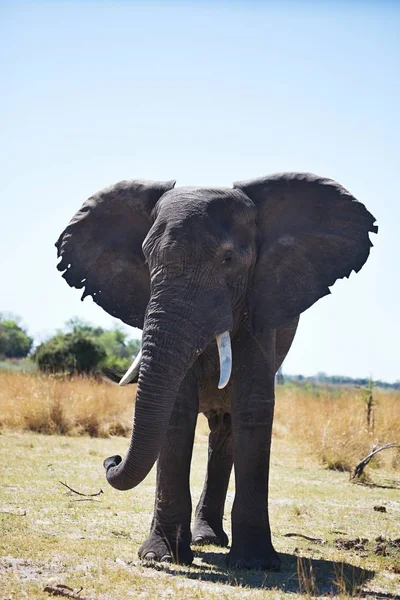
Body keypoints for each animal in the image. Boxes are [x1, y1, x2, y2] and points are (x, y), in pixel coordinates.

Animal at [54, 171, 376, 568]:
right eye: (146, 258)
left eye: (228, 259)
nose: (111, 458)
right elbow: (176, 410)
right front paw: (161, 557)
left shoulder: (261, 308)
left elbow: (253, 407)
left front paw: (256, 563)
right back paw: (203, 539)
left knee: (227, 428)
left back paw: (211, 539)